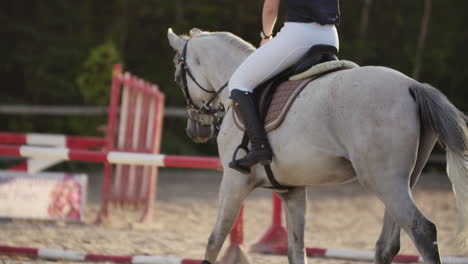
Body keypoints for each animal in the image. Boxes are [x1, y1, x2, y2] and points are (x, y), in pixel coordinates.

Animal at [168, 27, 468, 264]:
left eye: (177, 76)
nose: (197, 130)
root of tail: (412, 85)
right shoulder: (292, 190)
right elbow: (296, 252)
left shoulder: (234, 181)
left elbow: (215, 239)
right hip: (402, 181)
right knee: (388, 244)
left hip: (384, 181)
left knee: (422, 230)